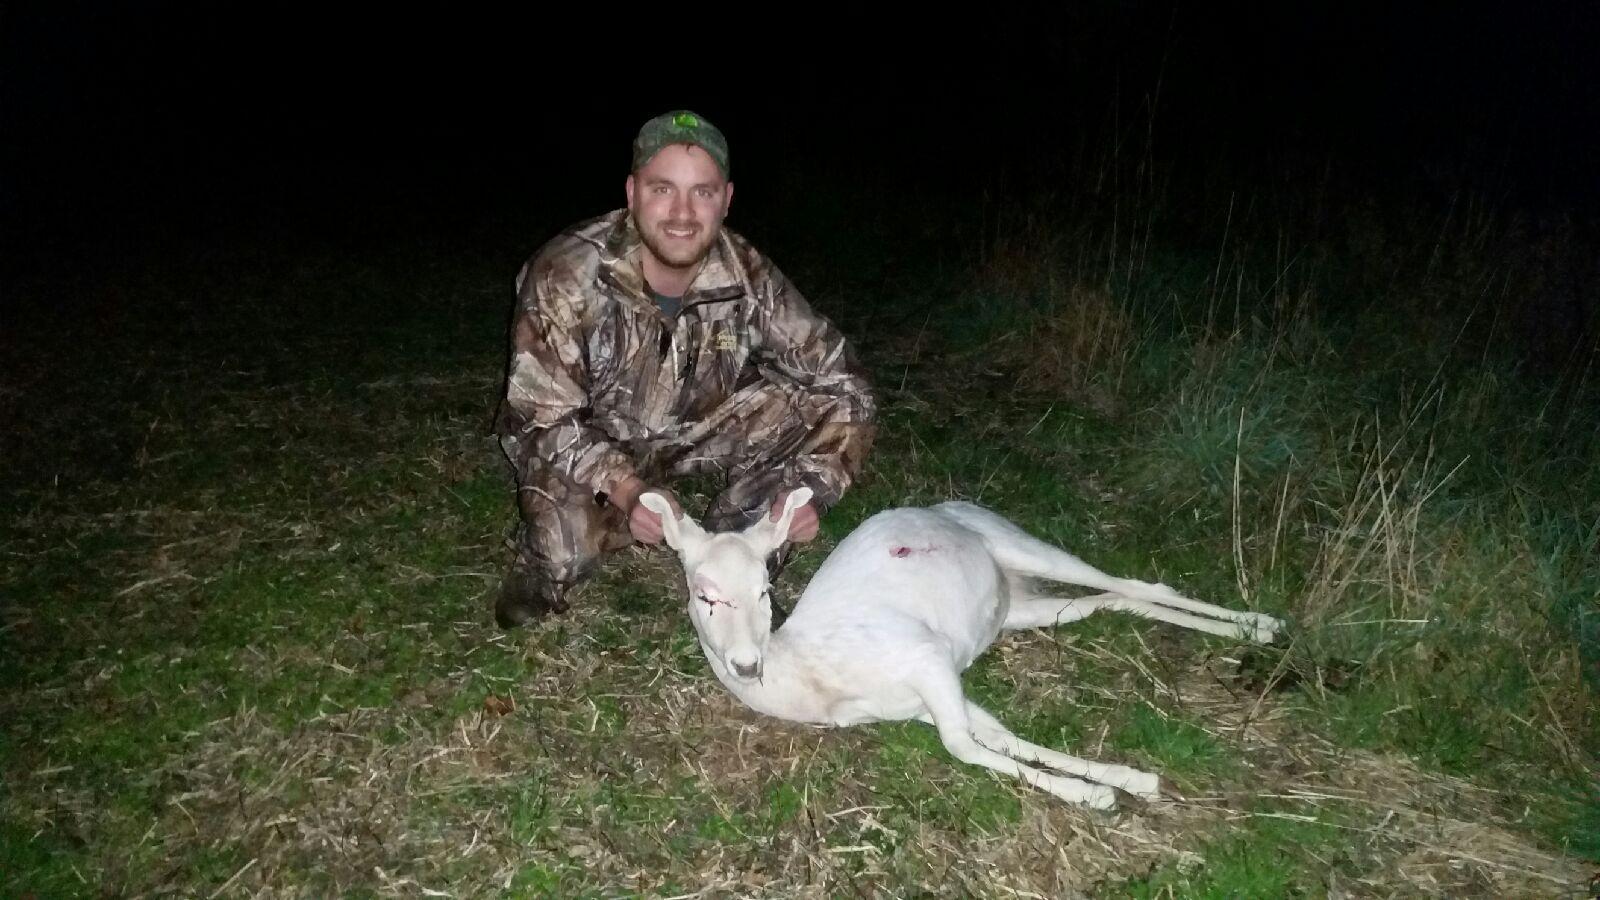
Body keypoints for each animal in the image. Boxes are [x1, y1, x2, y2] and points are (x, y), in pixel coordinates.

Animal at [638, 488, 1285, 810]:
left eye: (766, 589)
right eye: (704, 594)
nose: (746, 663)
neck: (817, 682)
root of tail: (947, 505)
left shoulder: (926, 656)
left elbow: (963, 744)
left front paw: (1093, 795)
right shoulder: (920, 699)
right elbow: (997, 735)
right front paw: (1126, 780)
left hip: (1016, 541)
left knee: (1132, 583)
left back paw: (1264, 623)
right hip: (1021, 607)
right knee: (1113, 601)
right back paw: (1256, 633)